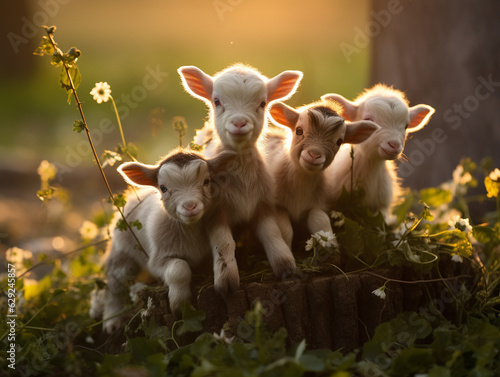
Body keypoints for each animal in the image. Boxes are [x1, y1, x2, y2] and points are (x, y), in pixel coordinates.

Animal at [264, 98, 376, 248]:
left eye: (339, 142)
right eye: (299, 131)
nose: (314, 155)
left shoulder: (316, 204)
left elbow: (320, 219)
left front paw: (331, 245)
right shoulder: (276, 206)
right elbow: (285, 229)